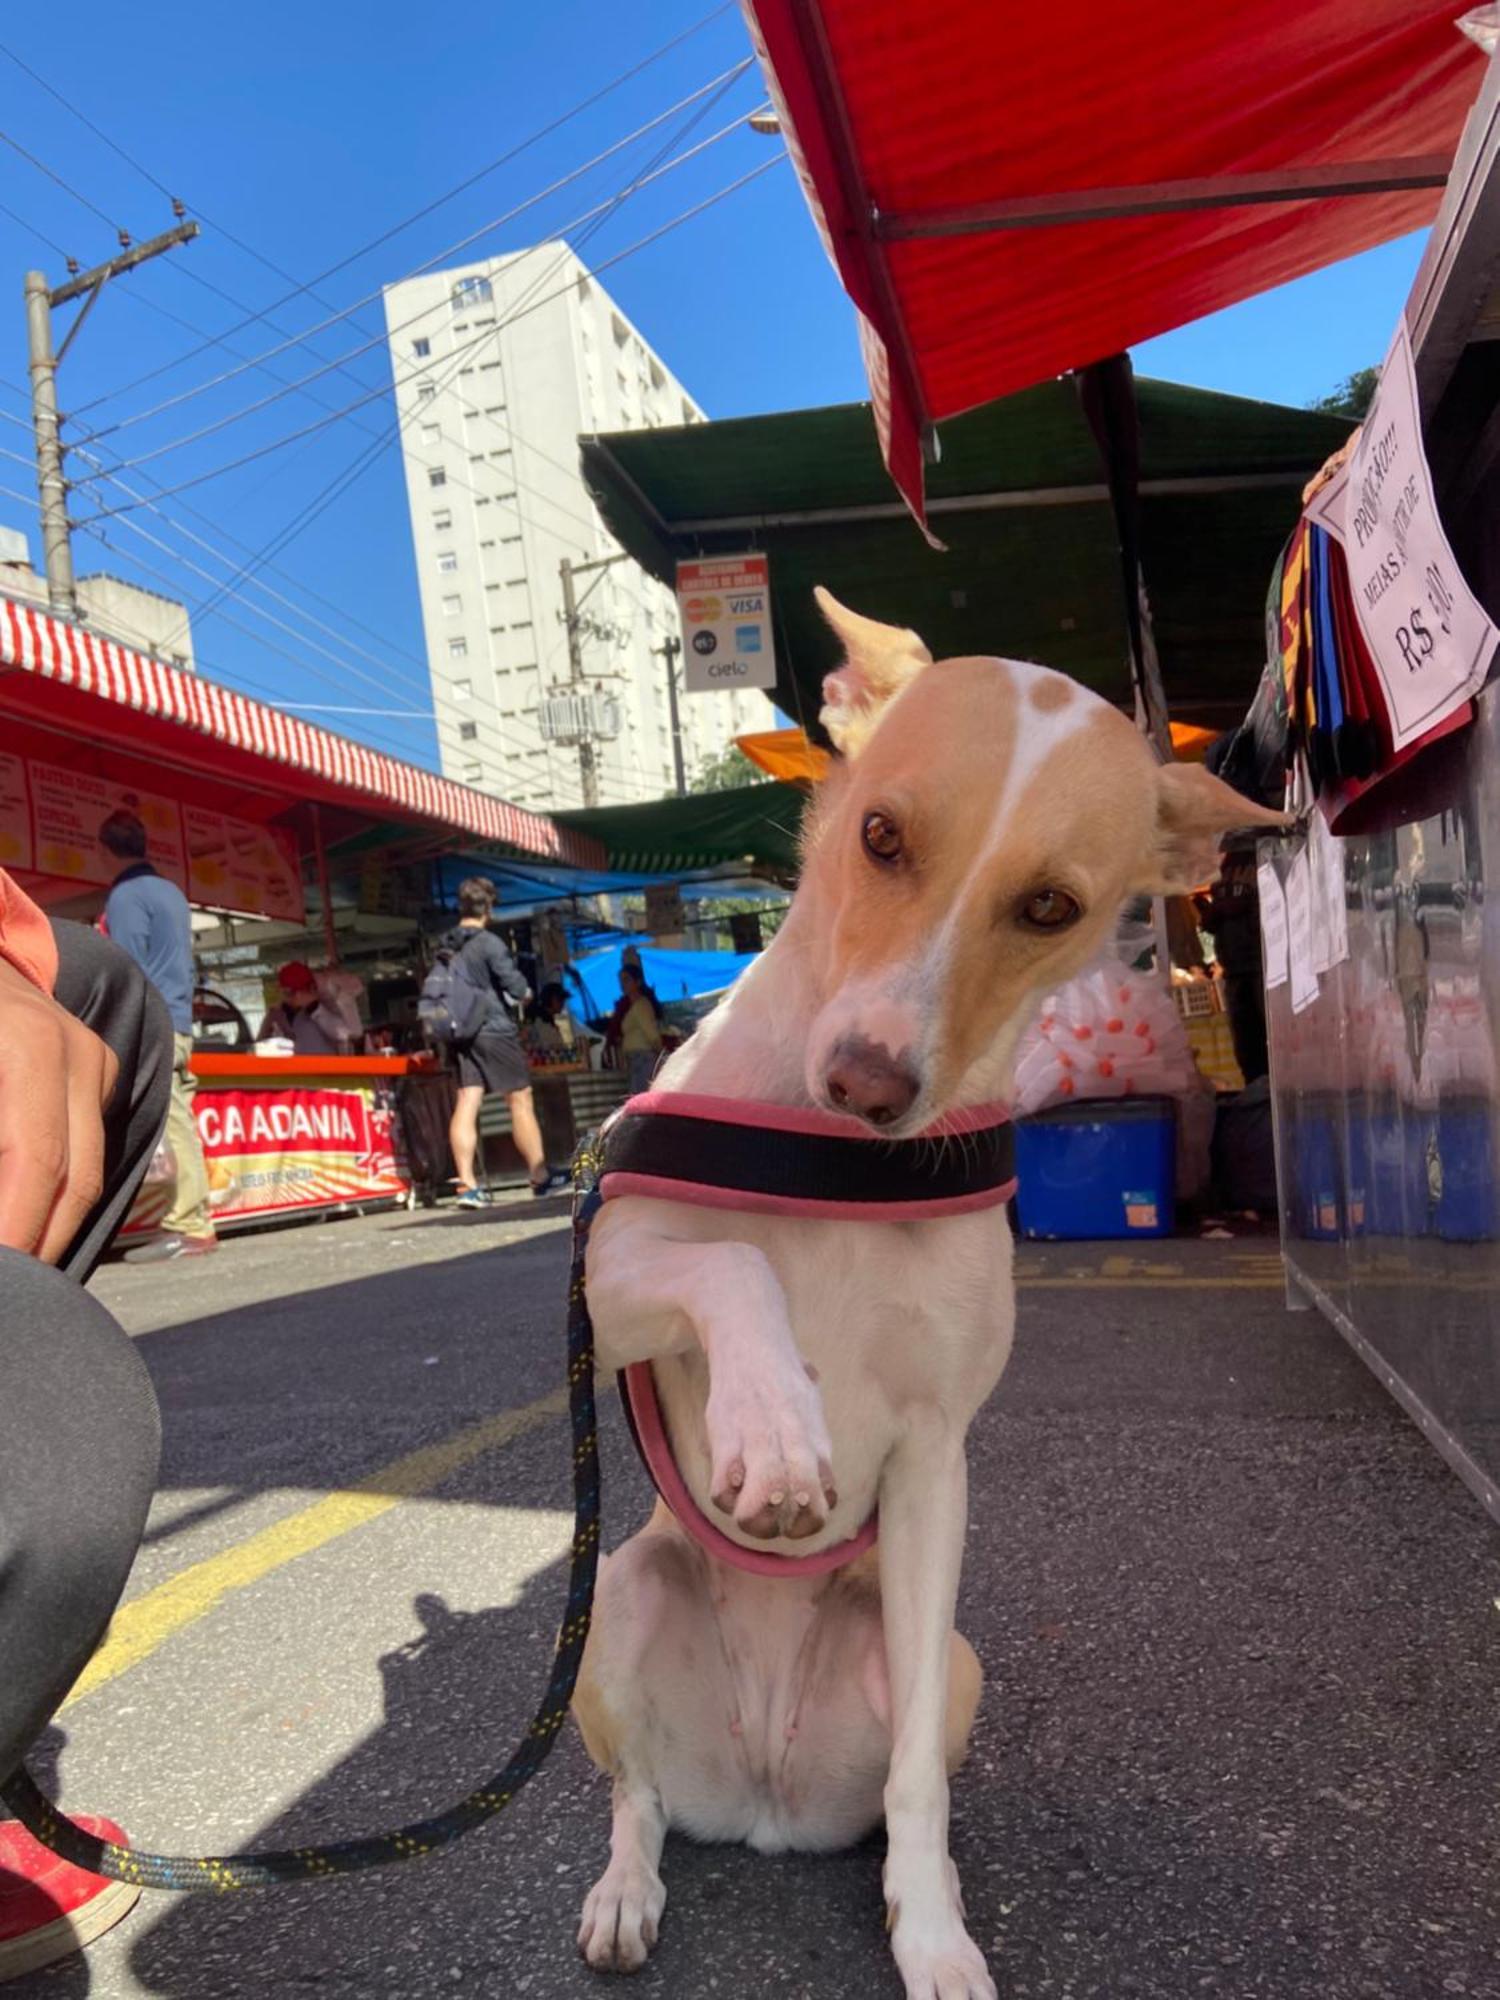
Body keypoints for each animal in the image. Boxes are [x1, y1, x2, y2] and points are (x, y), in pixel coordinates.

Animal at [568, 592, 1288, 2000]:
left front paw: (936, 1932)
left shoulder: (933, 1461)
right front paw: (775, 1425)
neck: (834, 1162)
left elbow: (916, 1791)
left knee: (885, 1780)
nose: (865, 1081)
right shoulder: (606, 1272)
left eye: (1051, 903)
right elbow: (729, 1263)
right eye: (879, 834)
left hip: (946, 1657)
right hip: (617, 1598)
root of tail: (761, 1797)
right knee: (638, 1797)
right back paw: (625, 1887)